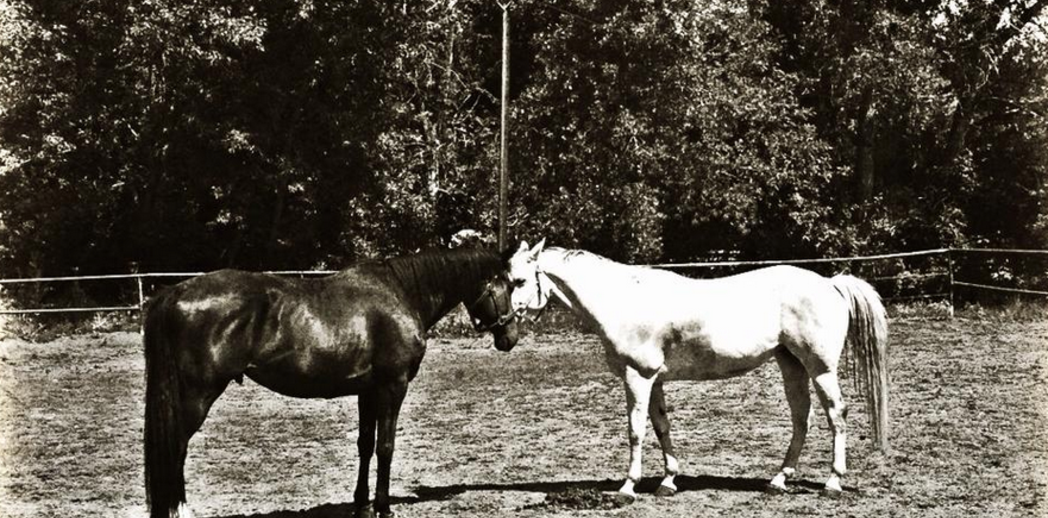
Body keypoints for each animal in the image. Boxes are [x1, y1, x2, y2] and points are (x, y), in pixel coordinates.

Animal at [143, 247, 519, 518]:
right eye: (504, 286)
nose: (511, 336)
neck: (401, 293)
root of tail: (175, 291)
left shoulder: (368, 391)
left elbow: (365, 444)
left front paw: (362, 504)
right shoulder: (393, 386)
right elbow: (386, 446)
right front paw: (383, 508)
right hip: (196, 397)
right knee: (176, 449)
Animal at [506, 240, 889, 500]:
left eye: (520, 281)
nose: (503, 331)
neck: (624, 301)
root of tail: (831, 283)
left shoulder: (637, 377)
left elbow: (635, 431)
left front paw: (628, 487)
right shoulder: (654, 380)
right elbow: (661, 427)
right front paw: (667, 481)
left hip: (820, 368)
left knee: (836, 415)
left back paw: (832, 482)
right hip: (791, 364)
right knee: (801, 418)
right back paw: (778, 480)